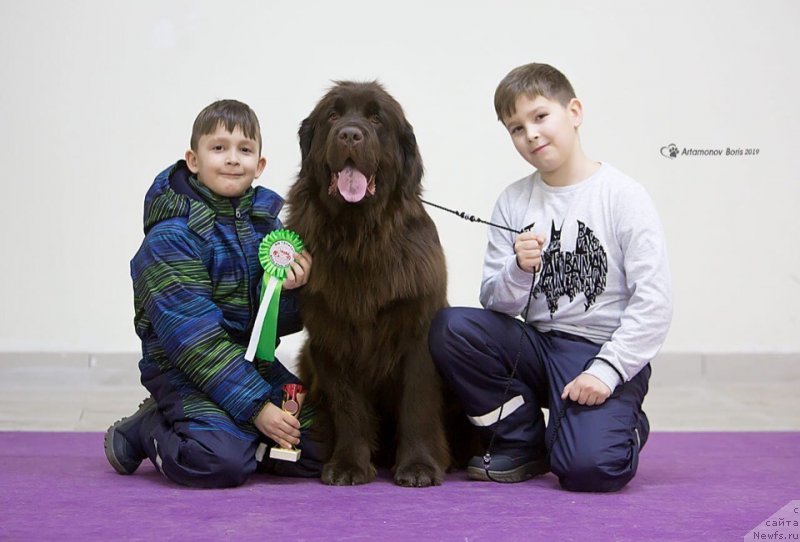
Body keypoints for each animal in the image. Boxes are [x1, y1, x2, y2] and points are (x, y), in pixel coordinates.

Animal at [282, 81, 456, 488]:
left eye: (377, 119)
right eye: (333, 115)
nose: (349, 133)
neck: (359, 235)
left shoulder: (417, 333)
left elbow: (417, 403)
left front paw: (419, 466)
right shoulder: (331, 337)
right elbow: (347, 406)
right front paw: (348, 465)